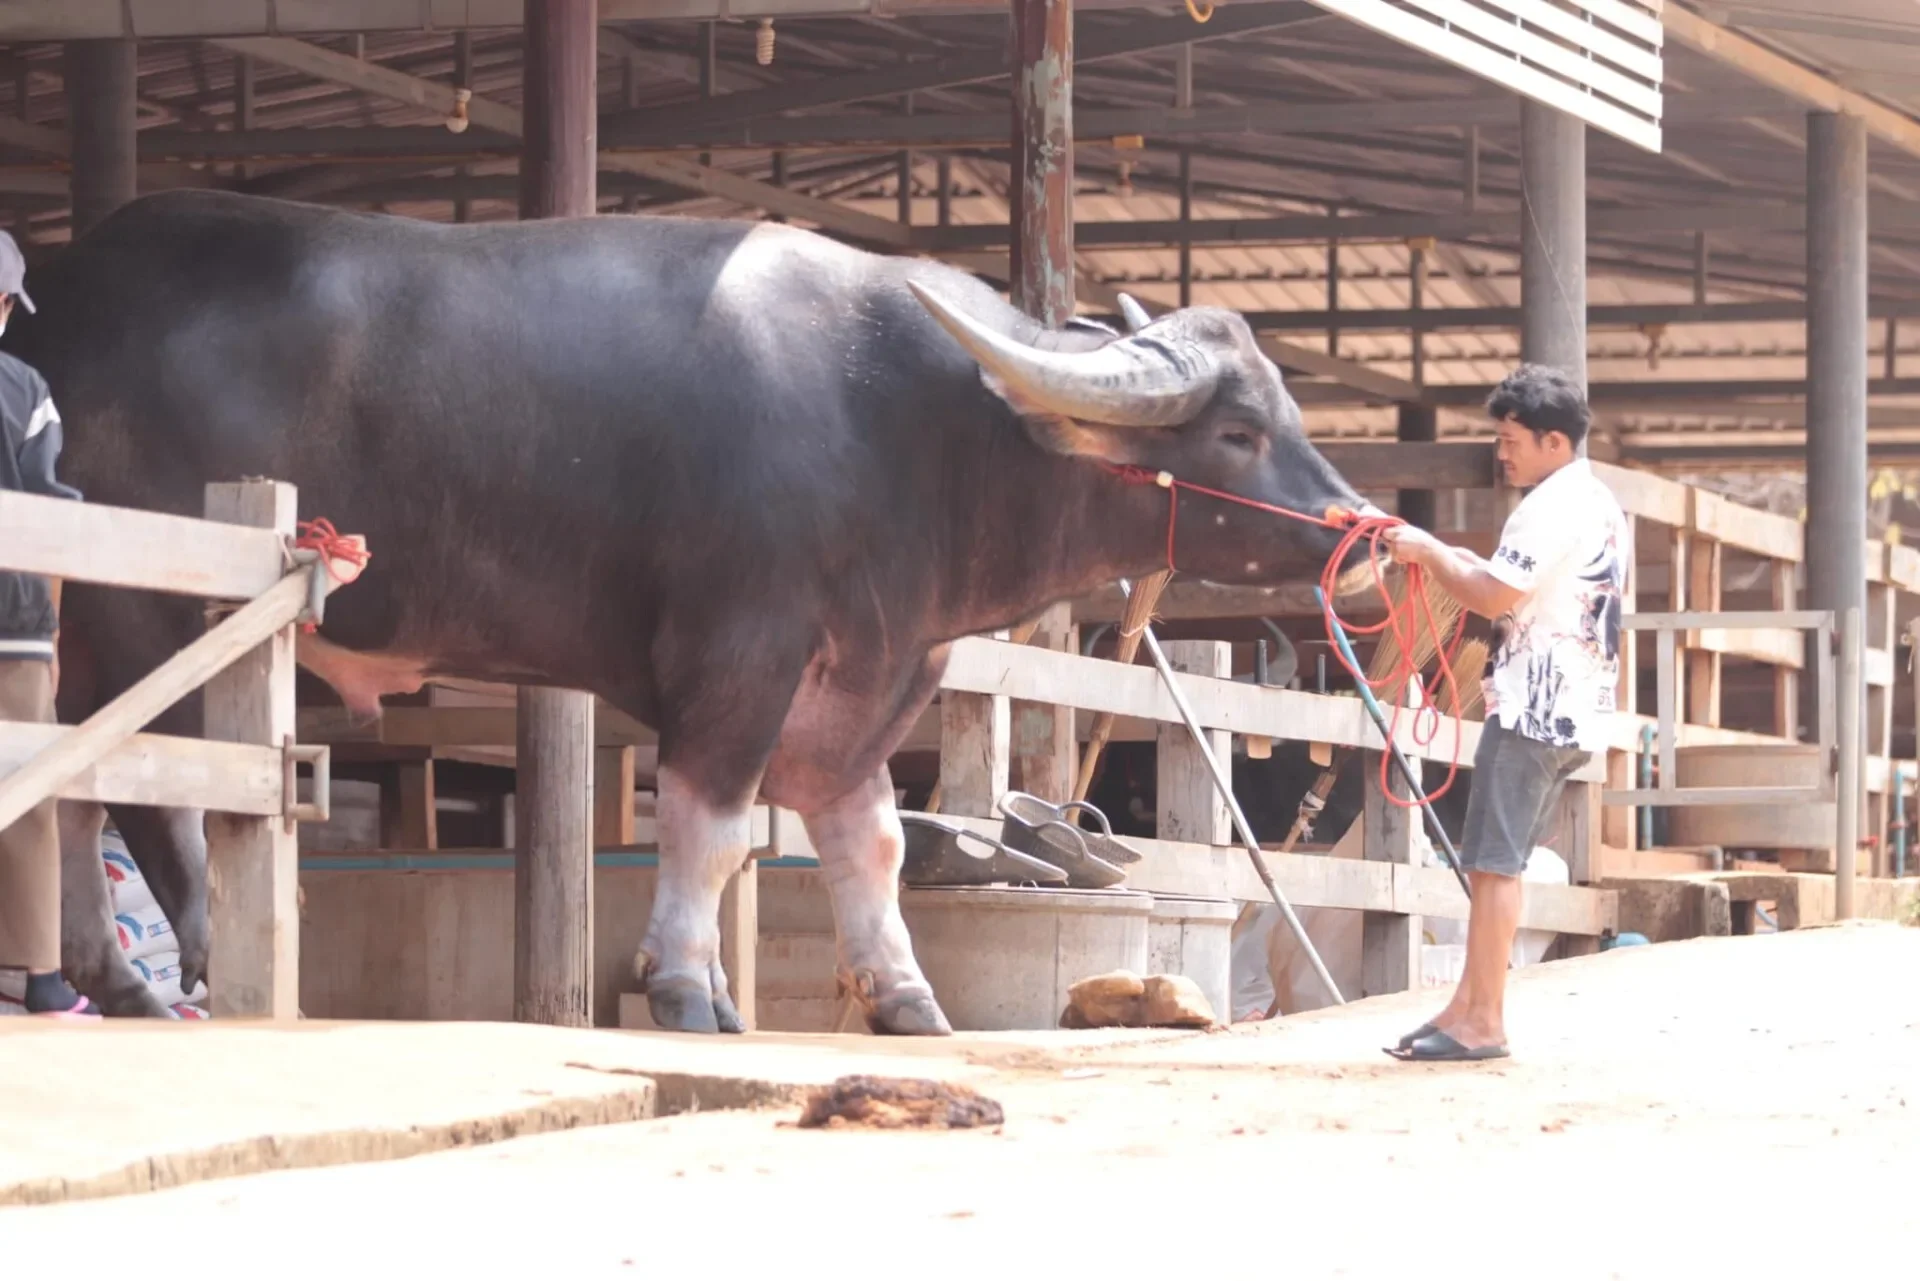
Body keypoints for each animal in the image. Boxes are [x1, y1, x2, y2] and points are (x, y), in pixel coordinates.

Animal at [7, 190, 1374, 1029]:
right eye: (1237, 431)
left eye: (1286, 410)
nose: (1360, 532)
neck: (906, 425)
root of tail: (66, 303)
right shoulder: (740, 656)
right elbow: (711, 835)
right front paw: (688, 990)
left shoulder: (875, 680)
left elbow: (870, 847)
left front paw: (906, 997)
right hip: (152, 606)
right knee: (151, 791)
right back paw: (193, 962)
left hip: (87, 625)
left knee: (73, 785)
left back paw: (116, 982)